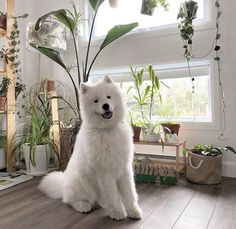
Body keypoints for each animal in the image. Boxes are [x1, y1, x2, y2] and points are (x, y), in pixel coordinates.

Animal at [39, 76, 141, 221]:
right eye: (96, 101)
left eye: (108, 97)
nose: (105, 106)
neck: (107, 130)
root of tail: (63, 185)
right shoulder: (105, 173)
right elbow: (112, 195)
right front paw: (117, 212)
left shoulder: (124, 169)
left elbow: (130, 193)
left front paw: (133, 211)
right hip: (82, 183)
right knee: (71, 201)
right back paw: (83, 205)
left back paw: (102, 204)